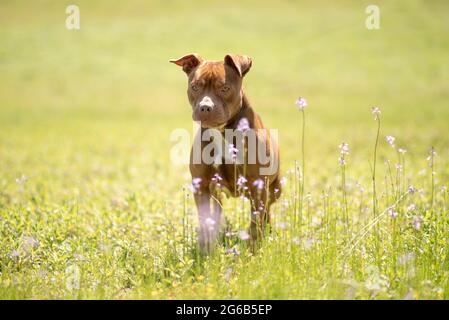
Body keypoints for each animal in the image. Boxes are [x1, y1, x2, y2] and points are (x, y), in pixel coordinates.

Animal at [169, 53, 280, 251]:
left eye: (225, 88)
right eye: (194, 87)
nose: (205, 107)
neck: (222, 131)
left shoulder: (258, 186)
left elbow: (255, 223)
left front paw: (253, 250)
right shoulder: (202, 185)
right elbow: (205, 218)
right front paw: (206, 248)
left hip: (274, 190)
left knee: (266, 211)